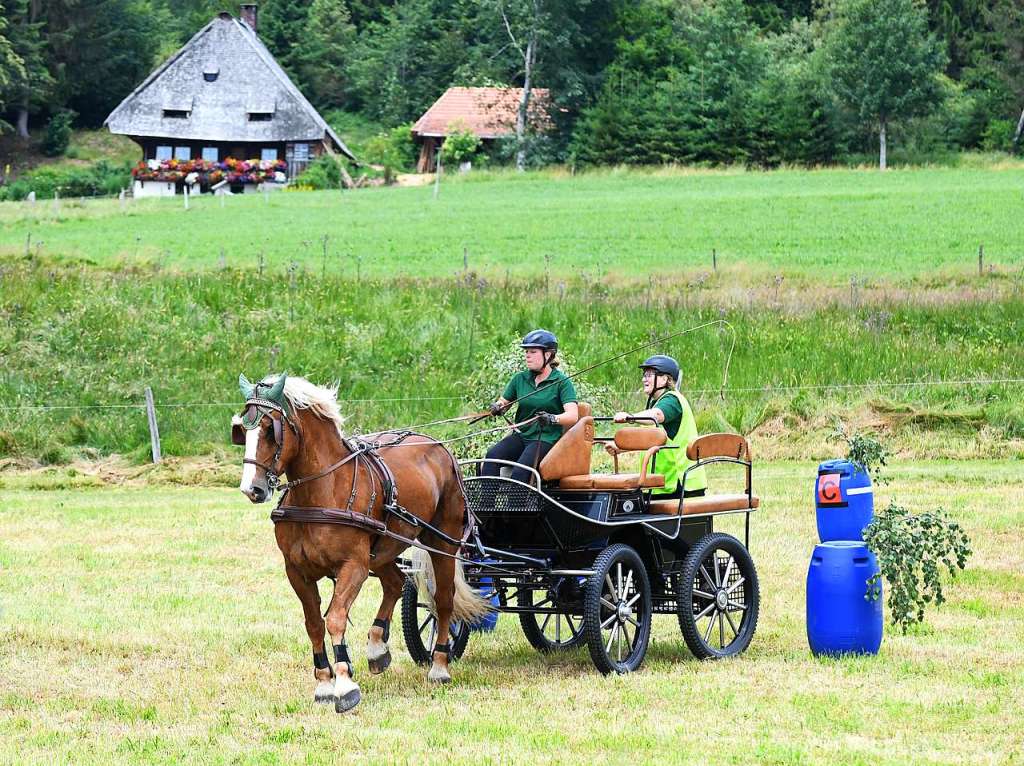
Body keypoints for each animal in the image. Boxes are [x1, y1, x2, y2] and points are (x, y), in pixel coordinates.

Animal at [234, 370, 489, 712]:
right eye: (241, 430)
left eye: (269, 430)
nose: (252, 489)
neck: (322, 492)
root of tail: (439, 446)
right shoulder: (296, 571)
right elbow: (313, 623)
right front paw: (324, 683)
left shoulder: (352, 566)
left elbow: (335, 618)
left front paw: (344, 685)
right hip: (383, 547)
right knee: (395, 583)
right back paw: (377, 647)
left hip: (441, 541)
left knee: (443, 600)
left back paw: (439, 665)